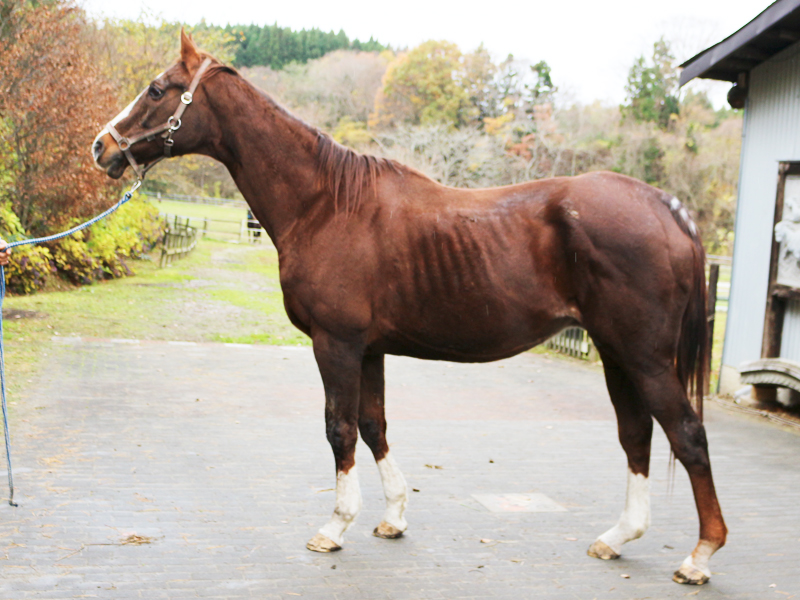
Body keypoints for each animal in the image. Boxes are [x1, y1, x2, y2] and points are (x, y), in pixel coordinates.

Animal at [92, 32, 724, 584]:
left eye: (157, 89)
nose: (102, 146)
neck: (325, 203)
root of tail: (667, 207)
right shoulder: (368, 349)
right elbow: (374, 425)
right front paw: (393, 516)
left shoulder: (336, 343)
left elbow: (340, 428)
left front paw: (335, 526)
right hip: (617, 353)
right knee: (637, 435)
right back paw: (618, 537)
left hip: (644, 356)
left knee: (687, 434)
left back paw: (699, 556)